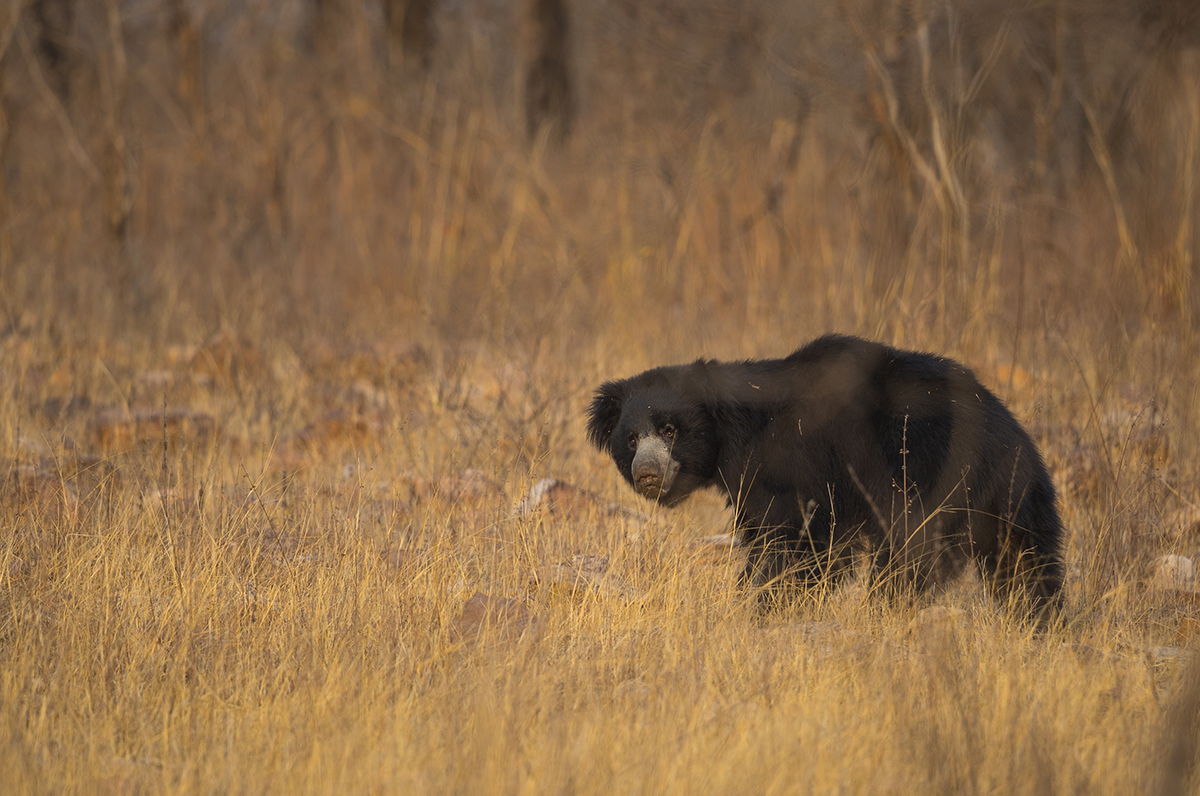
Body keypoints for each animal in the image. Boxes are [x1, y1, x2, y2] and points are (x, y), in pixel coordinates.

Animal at [585, 333, 1065, 612]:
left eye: (670, 430)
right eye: (631, 438)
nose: (647, 474)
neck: (738, 429)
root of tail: (1011, 434)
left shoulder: (800, 466)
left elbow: (800, 541)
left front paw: (762, 603)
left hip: (929, 474)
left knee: (909, 555)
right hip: (1016, 499)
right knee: (1026, 562)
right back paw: (1039, 619)